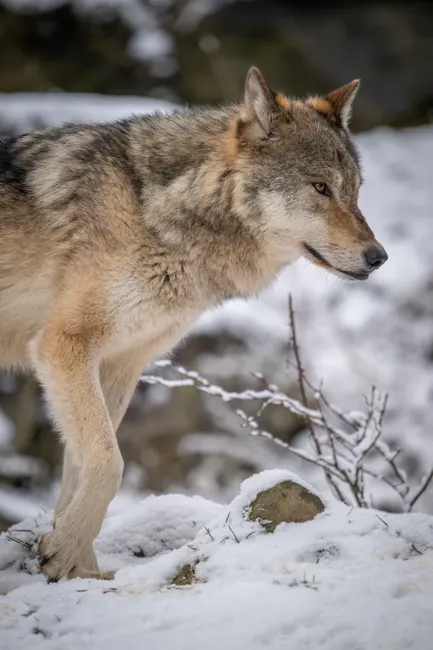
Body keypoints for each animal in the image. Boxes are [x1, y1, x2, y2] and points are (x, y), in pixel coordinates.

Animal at [0, 67, 387, 581]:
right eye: (320, 187)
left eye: (355, 191)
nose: (379, 257)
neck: (155, 209)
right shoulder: (65, 346)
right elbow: (109, 461)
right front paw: (66, 552)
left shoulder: (118, 364)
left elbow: (80, 466)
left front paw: (77, 566)